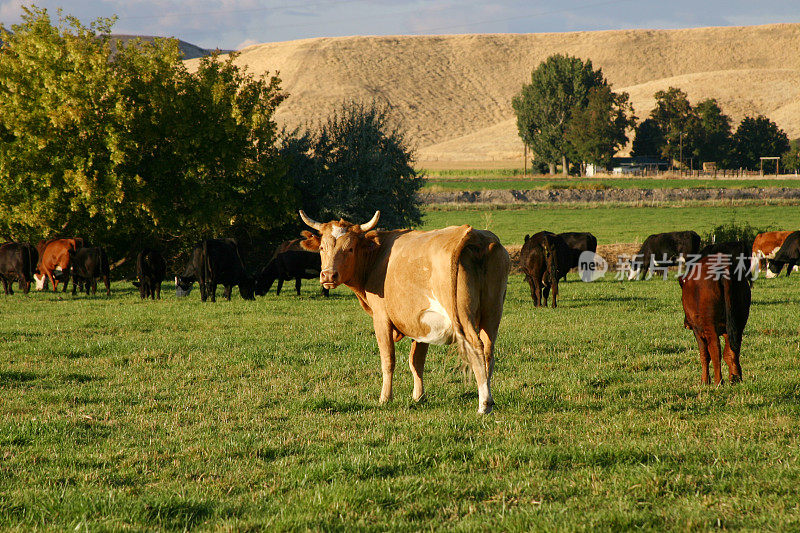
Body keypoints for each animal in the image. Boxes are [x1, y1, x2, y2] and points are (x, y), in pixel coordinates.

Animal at [296, 210, 510, 414]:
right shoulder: (421, 323)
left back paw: (484, 404)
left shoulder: (381, 318)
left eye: (349, 248)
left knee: (476, 347)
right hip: (493, 313)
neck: (377, 256)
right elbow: (416, 361)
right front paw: (418, 397)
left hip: (463, 316)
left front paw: (385, 398)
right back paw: (489, 397)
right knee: (488, 351)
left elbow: (388, 359)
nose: (328, 275)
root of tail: (471, 234)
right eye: (322, 248)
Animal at [680, 252, 752, 382]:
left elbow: (704, 354)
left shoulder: (697, 330)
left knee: (715, 349)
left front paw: (705, 381)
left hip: (709, 326)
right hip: (739, 322)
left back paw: (718, 381)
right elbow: (728, 353)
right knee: (733, 348)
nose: (686, 324)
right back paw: (736, 378)